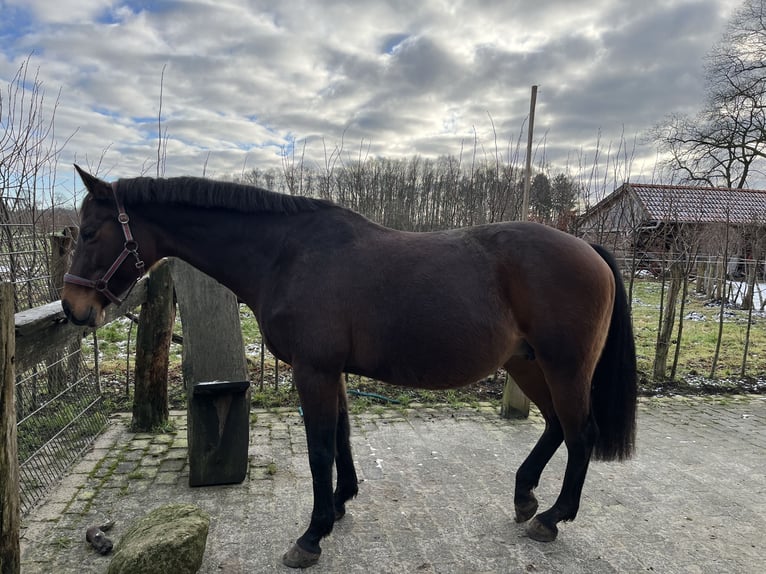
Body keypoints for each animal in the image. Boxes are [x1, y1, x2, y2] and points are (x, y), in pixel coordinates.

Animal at [60, 166, 640, 572]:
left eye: (88, 233)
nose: (73, 308)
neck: (287, 254)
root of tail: (587, 246)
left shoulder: (313, 370)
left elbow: (320, 448)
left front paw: (311, 537)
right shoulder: (330, 372)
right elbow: (340, 436)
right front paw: (340, 504)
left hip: (563, 368)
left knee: (581, 434)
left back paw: (551, 518)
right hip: (529, 366)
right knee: (556, 426)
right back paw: (525, 497)